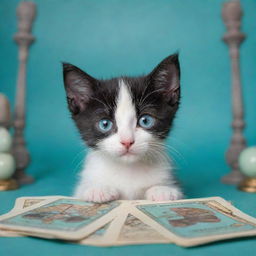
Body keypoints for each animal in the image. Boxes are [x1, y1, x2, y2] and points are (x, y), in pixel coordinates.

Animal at [62, 53, 183, 202]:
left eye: (145, 121)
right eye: (105, 124)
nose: (127, 142)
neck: (128, 169)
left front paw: (162, 190)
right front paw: (98, 190)